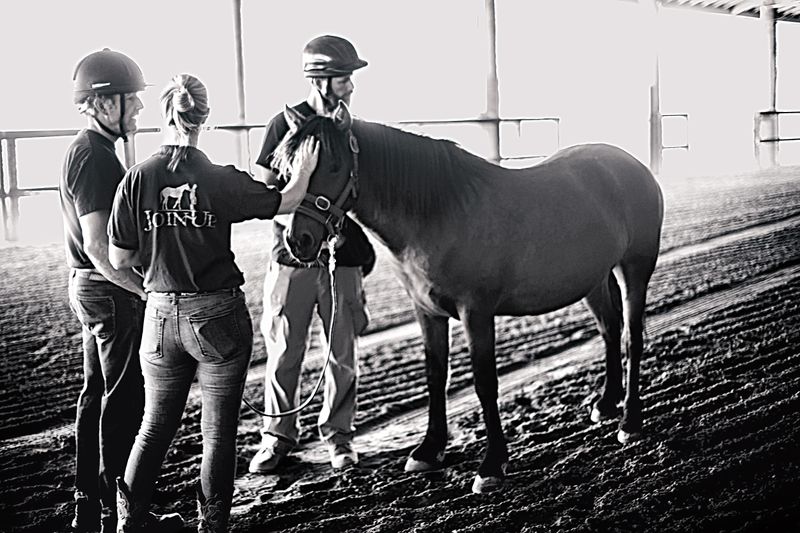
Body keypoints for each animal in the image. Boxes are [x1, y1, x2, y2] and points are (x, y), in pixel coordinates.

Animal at [272, 102, 664, 492]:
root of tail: (631, 164)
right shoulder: (427, 312)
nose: (298, 241)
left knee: (632, 339)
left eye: (333, 165)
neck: (438, 214)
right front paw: (428, 451)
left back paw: (629, 423)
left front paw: (491, 465)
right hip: (594, 279)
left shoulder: (476, 313)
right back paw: (606, 404)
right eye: (285, 169)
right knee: (610, 331)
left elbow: (484, 382)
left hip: (635, 269)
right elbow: (435, 377)